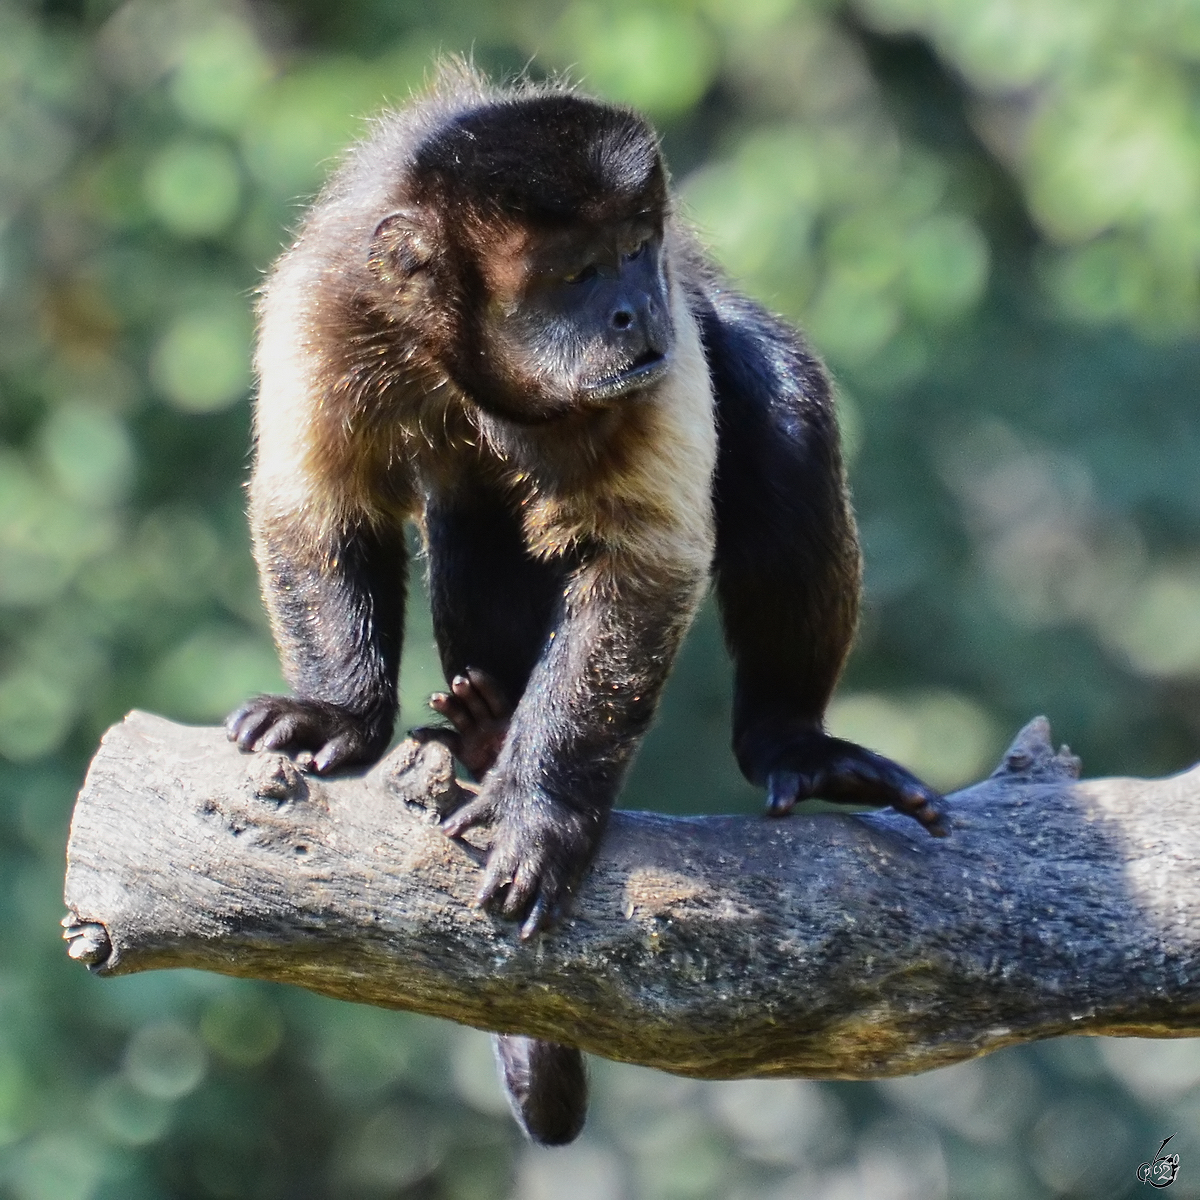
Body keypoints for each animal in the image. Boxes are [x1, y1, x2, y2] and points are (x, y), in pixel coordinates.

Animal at [226, 60, 945, 1147]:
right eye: (575, 276)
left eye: (635, 255)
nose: (633, 311)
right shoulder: (334, 297)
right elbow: (315, 500)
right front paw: (334, 710)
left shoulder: (665, 353)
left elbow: (643, 560)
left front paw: (540, 812)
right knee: (473, 506)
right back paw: (484, 728)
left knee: (777, 400)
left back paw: (789, 740)